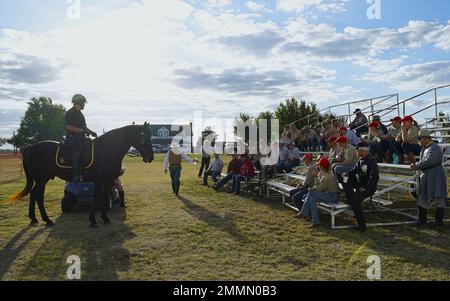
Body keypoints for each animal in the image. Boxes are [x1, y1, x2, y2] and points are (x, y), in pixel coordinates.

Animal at [6, 122, 155, 227]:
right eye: (145, 137)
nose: (151, 157)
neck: (107, 149)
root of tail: (31, 147)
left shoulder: (107, 181)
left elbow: (104, 197)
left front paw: (105, 218)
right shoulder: (101, 180)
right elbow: (96, 198)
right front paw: (93, 220)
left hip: (41, 179)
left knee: (33, 194)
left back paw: (34, 219)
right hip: (42, 179)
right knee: (38, 196)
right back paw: (46, 220)